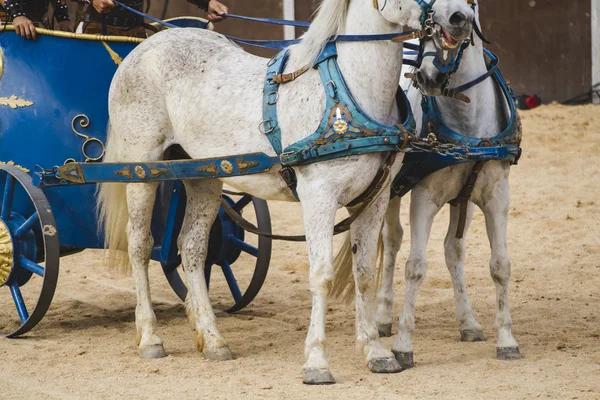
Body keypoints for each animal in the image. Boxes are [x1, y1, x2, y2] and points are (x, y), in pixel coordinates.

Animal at [97, 0, 474, 384]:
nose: (461, 17)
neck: (351, 92)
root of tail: (142, 48)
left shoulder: (375, 198)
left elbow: (365, 274)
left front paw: (375, 351)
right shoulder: (319, 196)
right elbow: (321, 276)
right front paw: (317, 362)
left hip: (202, 177)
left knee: (192, 247)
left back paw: (213, 339)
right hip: (141, 171)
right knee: (140, 245)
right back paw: (150, 337)